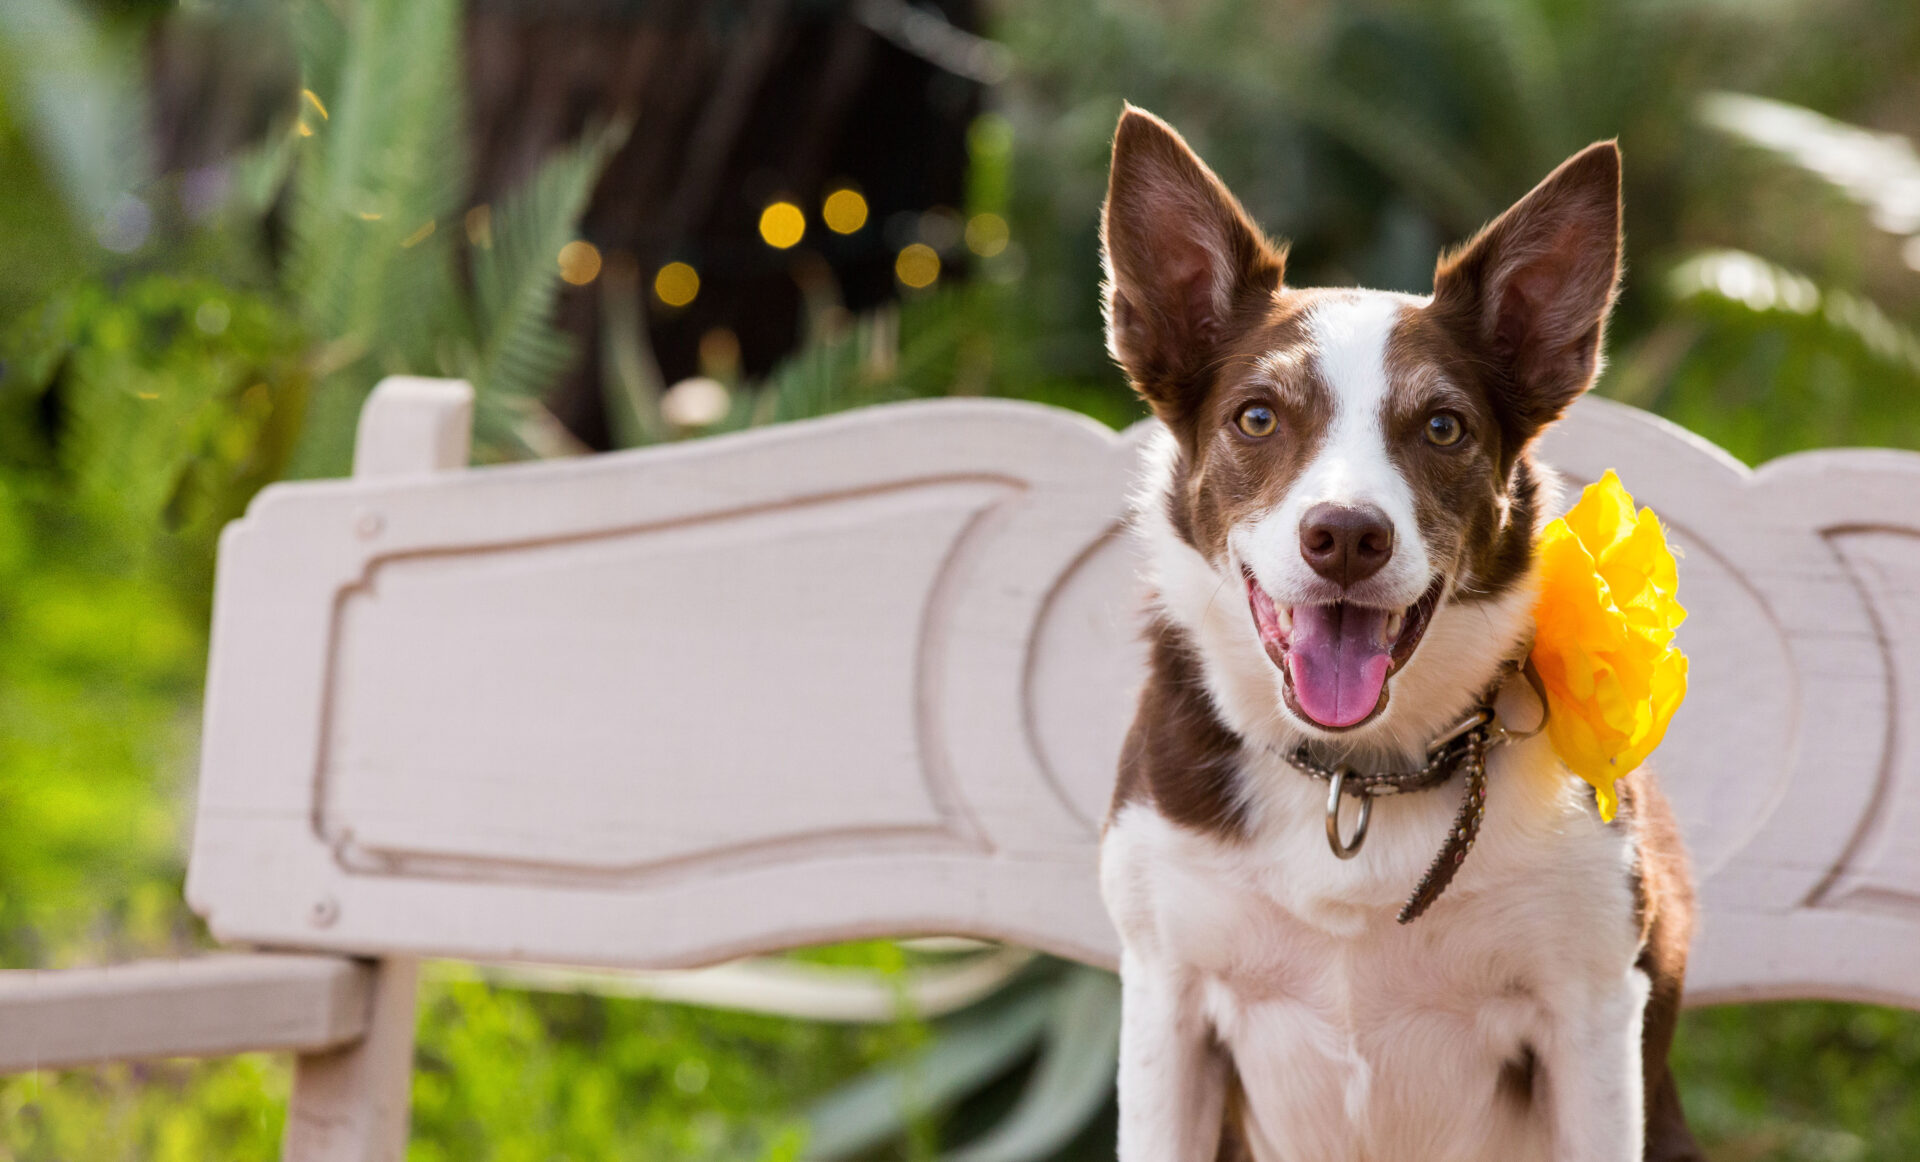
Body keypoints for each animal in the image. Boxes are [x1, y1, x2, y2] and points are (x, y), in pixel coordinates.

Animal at [1098, 108, 1697, 1160]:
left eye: (1444, 427)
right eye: (1259, 416)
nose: (1346, 536)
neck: (1357, 774)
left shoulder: (1591, 1014)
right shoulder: (1168, 1001)